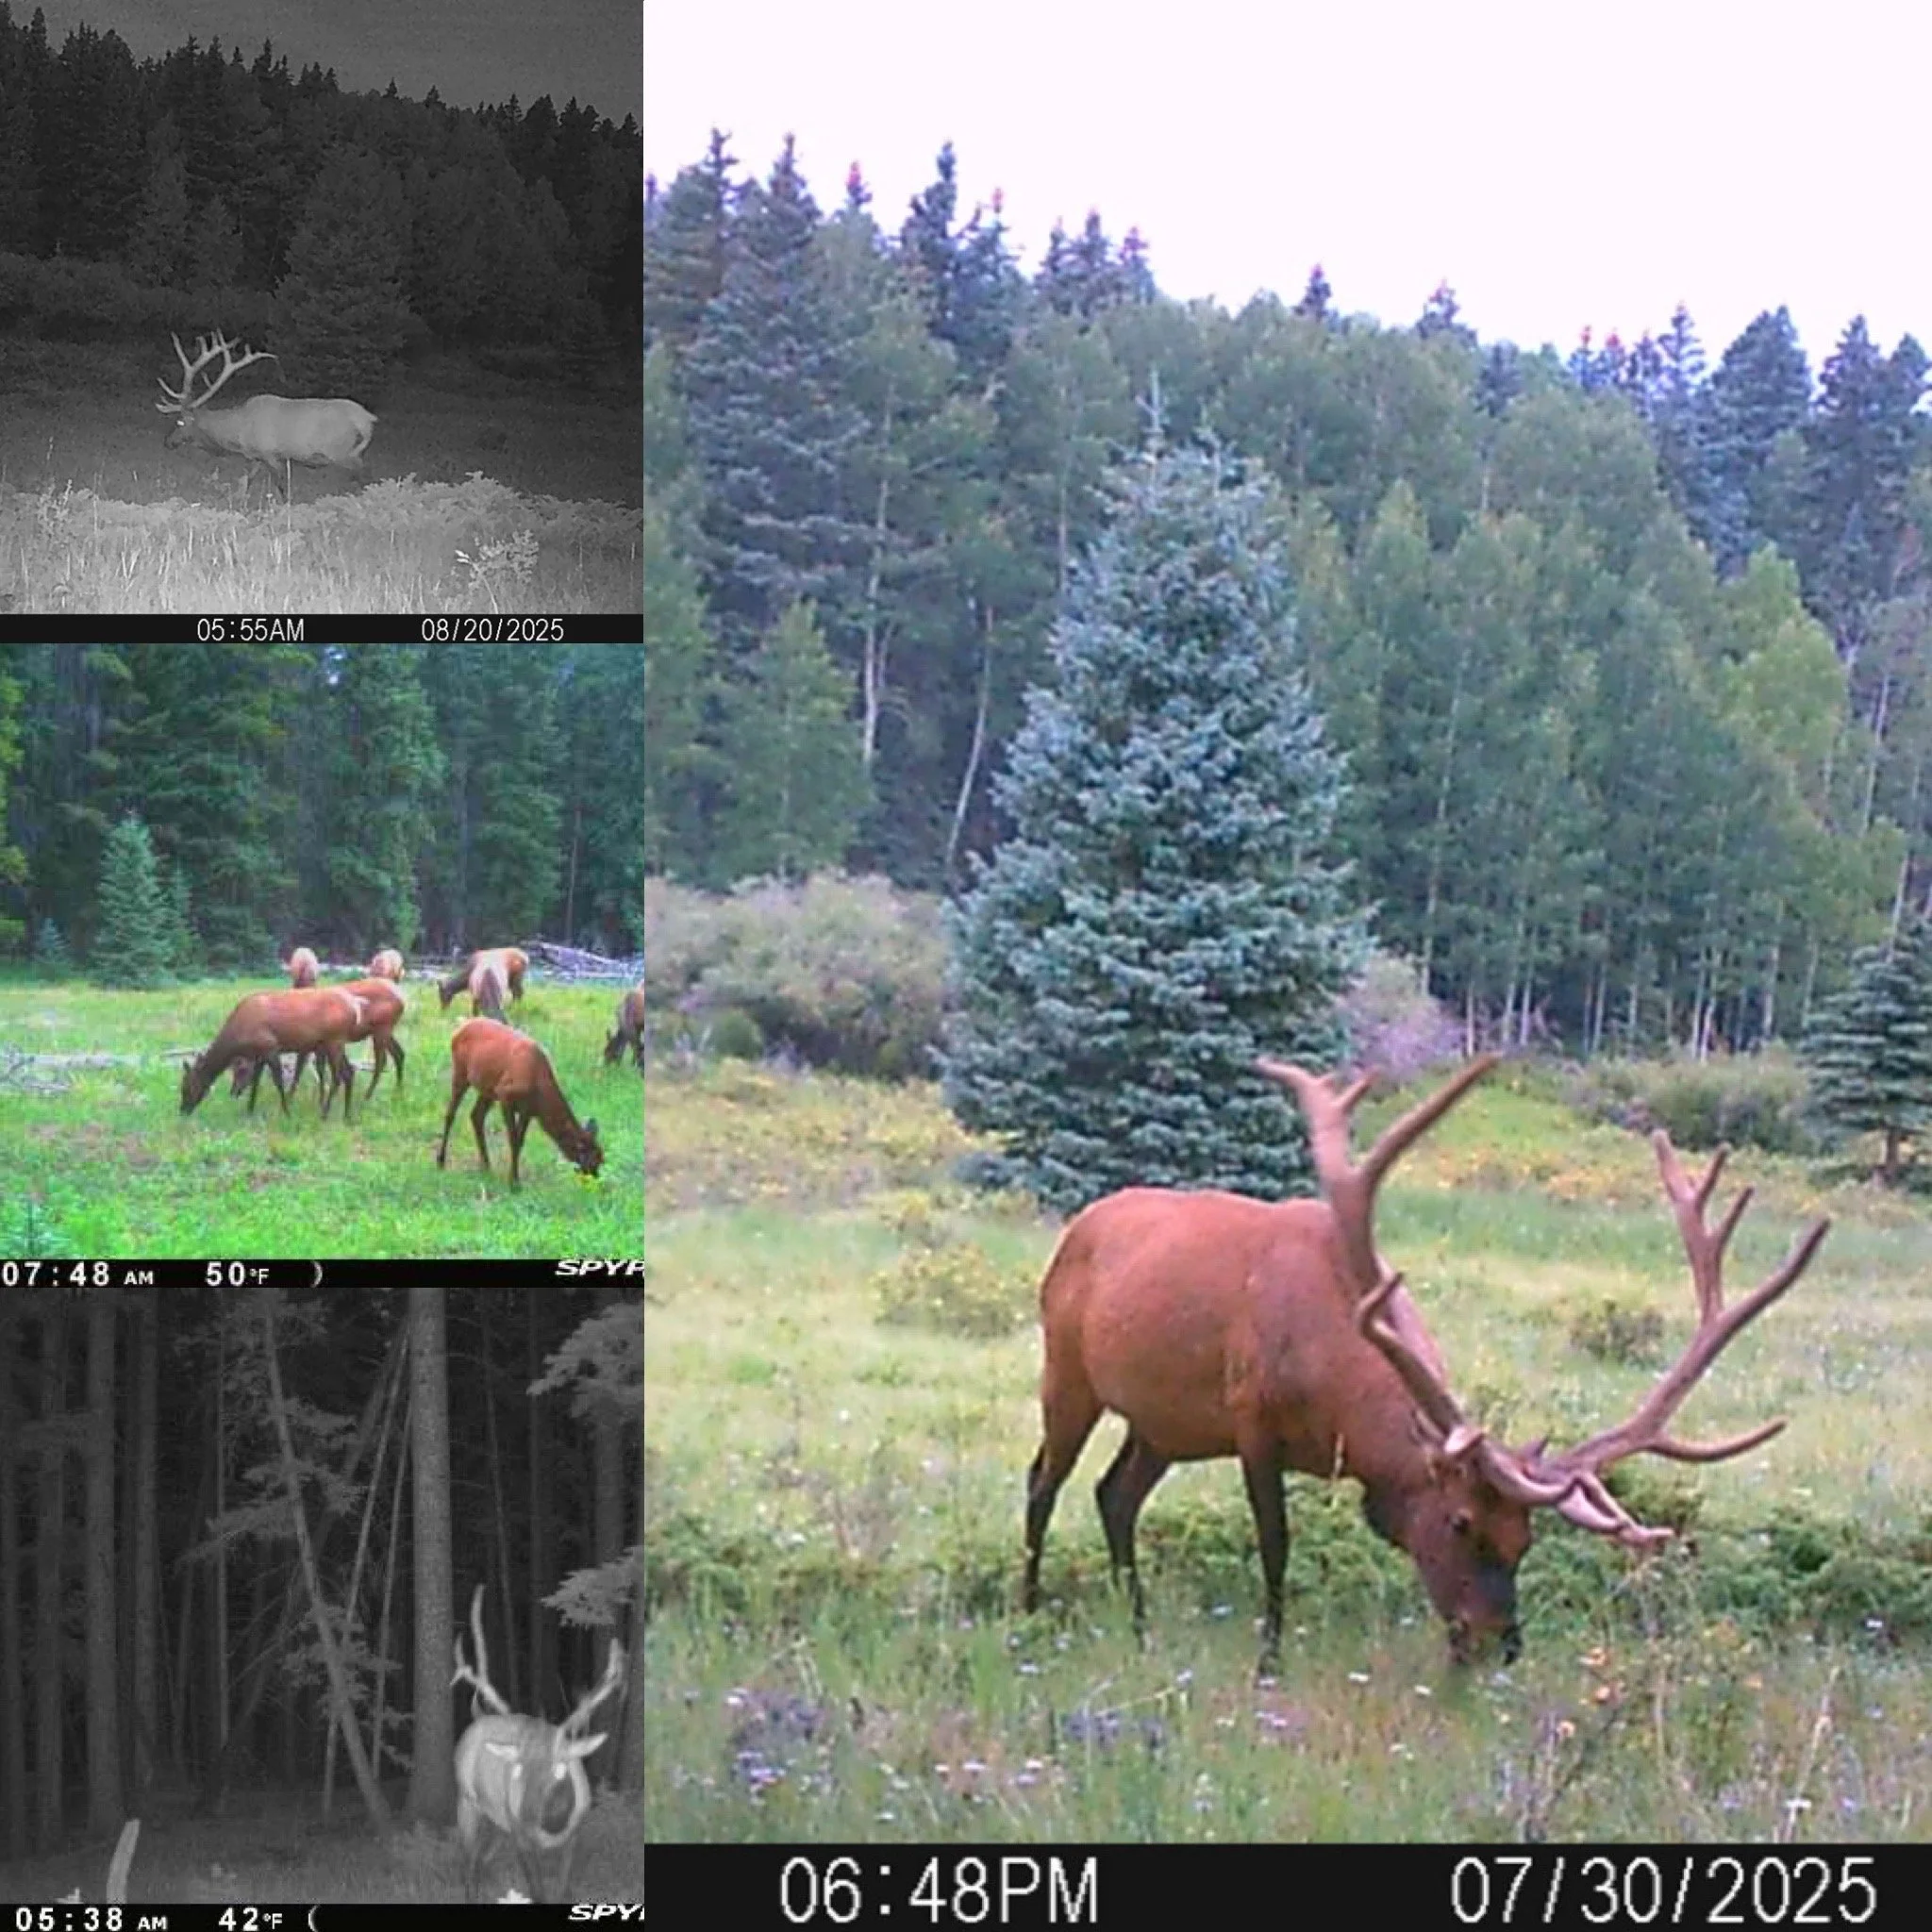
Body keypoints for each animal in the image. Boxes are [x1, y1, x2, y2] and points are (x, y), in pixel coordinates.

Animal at [156, 329, 376, 501]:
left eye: (180, 422)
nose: (167, 442)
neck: (238, 434)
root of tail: (368, 419)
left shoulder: (271, 454)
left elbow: (281, 488)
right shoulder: (257, 456)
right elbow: (248, 480)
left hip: (341, 450)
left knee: (364, 473)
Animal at [180, 988, 367, 1120]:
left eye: (187, 1086)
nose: (182, 1111)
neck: (239, 1038)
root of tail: (355, 1007)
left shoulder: (270, 1047)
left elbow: (278, 1082)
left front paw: (286, 1112)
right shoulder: (259, 1054)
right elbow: (256, 1081)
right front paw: (249, 1110)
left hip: (334, 1041)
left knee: (338, 1077)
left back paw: (325, 1114)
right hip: (336, 1043)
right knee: (350, 1071)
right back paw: (347, 1115)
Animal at [436, 1018, 604, 1188]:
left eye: (601, 1158)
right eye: (592, 1161)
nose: (597, 1181)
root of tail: (458, 1030)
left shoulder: (527, 1110)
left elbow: (520, 1141)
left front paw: (514, 1179)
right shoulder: (505, 1095)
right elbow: (513, 1140)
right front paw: (514, 1182)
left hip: (487, 1089)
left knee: (476, 1116)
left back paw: (486, 1165)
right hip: (461, 1072)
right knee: (450, 1114)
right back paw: (441, 1160)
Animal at [451, 1586, 624, 1903]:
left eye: (559, 1770)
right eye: (518, 1770)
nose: (528, 1817)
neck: (553, 1829)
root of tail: (477, 1718)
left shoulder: (575, 1833)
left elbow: (564, 1890)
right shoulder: (522, 1838)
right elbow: (538, 1892)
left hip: (497, 1820)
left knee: (481, 1860)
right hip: (468, 1800)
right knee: (468, 1865)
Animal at [1021, 1053, 1830, 1675]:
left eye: (1526, 1538)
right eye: (1462, 1521)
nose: (1500, 1646)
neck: (1340, 1406)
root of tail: (1078, 1227)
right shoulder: (1251, 1417)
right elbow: (1276, 1547)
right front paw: (1269, 1665)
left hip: (1166, 1425)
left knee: (1114, 1495)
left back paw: (1137, 1627)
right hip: (1067, 1368)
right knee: (1044, 1481)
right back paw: (1027, 1612)